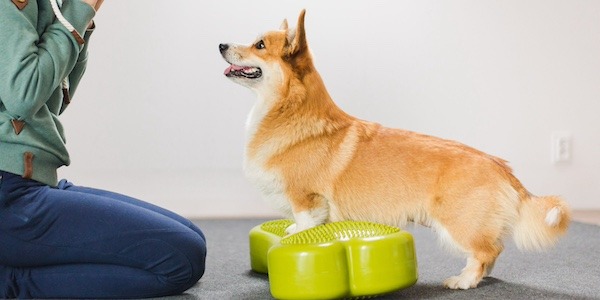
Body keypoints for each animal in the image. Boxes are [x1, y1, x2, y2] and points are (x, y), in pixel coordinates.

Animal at [220, 10, 572, 290]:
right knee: (492, 250)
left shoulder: (307, 202)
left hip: (457, 224)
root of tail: (502, 167)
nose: (221, 45)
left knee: (488, 251)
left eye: (259, 45)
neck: (289, 112)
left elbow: (304, 227)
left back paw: (464, 281)